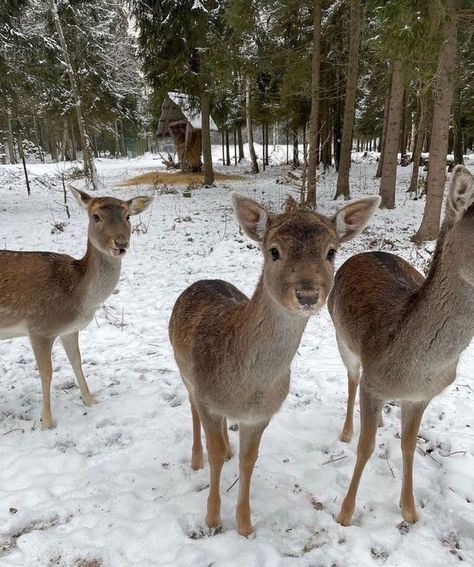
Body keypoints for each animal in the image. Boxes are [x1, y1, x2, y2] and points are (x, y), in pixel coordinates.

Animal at [0, 189, 152, 428]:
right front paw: (47, 422)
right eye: (96, 216)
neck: (79, 299)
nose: (121, 243)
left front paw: (90, 400)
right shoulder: (39, 328)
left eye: (128, 216)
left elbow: (77, 361)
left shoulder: (69, 330)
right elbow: (46, 372)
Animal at [168, 192, 380, 536]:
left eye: (331, 251)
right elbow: (215, 453)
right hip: (183, 370)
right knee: (191, 408)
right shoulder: (207, 398)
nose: (307, 294)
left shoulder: (262, 414)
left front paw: (244, 525)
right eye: (274, 250)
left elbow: (248, 459)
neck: (246, 387)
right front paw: (212, 519)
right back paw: (196, 458)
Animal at [328, 165, 474, 528]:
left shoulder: (422, 396)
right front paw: (345, 513)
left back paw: (379, 421)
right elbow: (365, 448)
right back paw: (347, 431)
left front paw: (410, 510)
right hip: (341, 337)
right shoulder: (373, 381)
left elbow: (409, 446)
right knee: (352, 379)